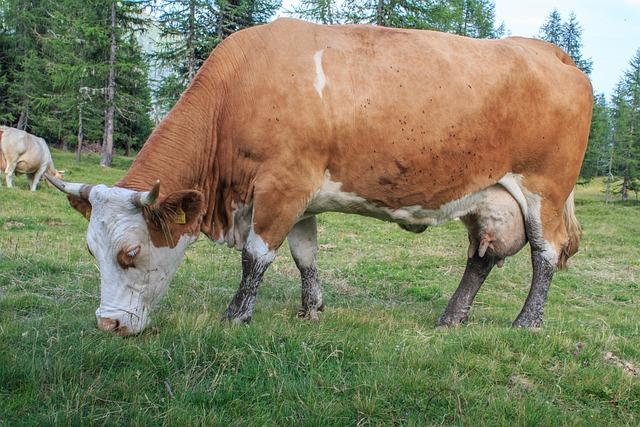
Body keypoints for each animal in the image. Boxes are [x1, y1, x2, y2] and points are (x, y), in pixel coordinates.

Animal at [47, 19, 592, 334]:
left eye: (130, 252)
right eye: (91, 250)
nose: (107, 325)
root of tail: (552, 53)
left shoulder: (281, 186)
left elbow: (256, 257)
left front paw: (235, 316)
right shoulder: (299, 197)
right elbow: (303, 254)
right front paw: (311, 310)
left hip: (544, 190)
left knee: (545, 255)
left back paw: (527, 323)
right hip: (488, 197)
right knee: (481, 259)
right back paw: (450, 318)